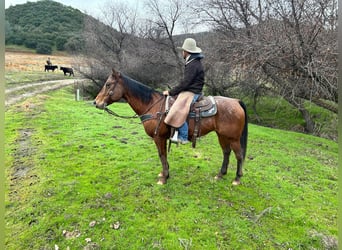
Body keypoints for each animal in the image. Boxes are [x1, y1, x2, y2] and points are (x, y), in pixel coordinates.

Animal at [94, 69, 248, 185]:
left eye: (108, 84)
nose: (96, 102)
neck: (153, 106)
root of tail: (236, 101)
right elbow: (163, 155)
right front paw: (164, 173)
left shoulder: (159, 137)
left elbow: (162, 155)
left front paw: (164, 178)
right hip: (222, 135)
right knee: (226, 152)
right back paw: (220, 174)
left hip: (233, 138)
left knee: (239, 155)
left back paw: (237, 179)